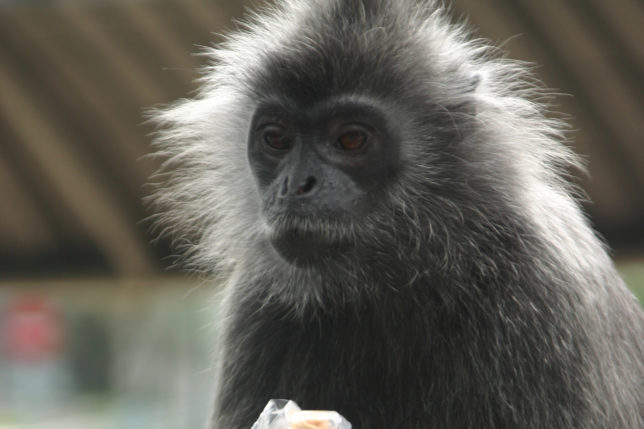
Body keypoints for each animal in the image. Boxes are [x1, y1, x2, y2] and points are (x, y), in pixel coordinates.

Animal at [150, 0, 644, 428]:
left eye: (351, 140)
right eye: (276, 140)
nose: (296, 186)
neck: (407, 272)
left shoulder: (544, 293)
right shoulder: (255, 302)